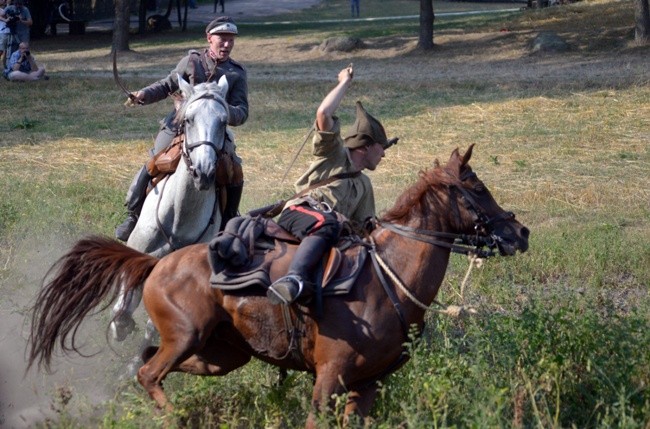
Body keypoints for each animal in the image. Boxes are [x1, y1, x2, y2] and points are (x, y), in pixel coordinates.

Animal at [29, 145, 528, 426]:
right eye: (477, 188)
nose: (519, 232)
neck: (387, 277)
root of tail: (155, 263)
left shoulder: (366, 387)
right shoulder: (329, 379)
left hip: (219, 354)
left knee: (147, 363)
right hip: (188, 336)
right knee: (150, 373)